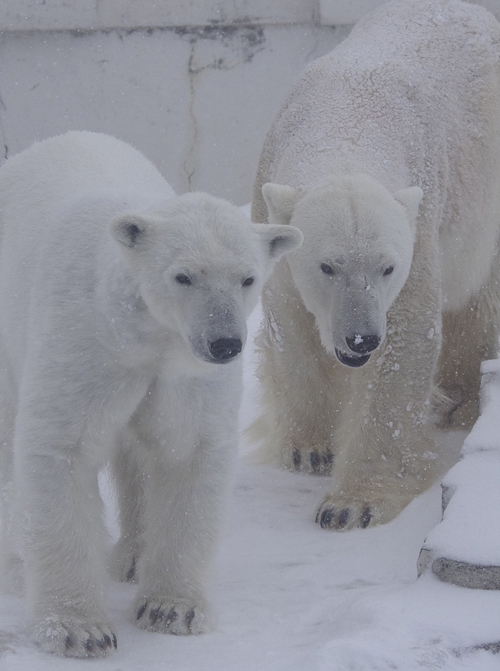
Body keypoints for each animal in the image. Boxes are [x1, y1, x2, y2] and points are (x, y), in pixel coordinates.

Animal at [0, 131, 302, 656]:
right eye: (183, 276)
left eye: (248, 278)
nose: (225, 343)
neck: (144, 334)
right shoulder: (87, 346)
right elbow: (60, 447)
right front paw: (79, 630)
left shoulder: (183, 377)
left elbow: (187, 452)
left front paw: (171, 608)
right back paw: (17, 569)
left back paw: (134, 556)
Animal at [254, 0, 500, 532]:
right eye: (327, 266)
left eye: (387, 268)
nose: (361, 339)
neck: (350, 116)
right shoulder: (271, 197)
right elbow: (288, 317)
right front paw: (311, 448)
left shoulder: (420, 224)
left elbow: (404, 342)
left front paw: (351, 505)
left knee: (479, 297)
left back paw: (463, 399)